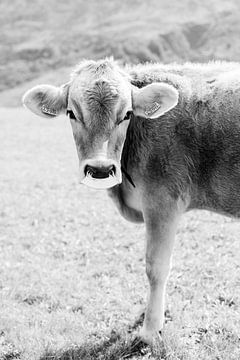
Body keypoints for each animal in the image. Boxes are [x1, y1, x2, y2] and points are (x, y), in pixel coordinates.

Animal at [22, 57, 240, 344]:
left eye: (126, 114)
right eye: (71, 113)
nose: (100, 169)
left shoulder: (162, 201)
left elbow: (156, 267)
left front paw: (150, 329)